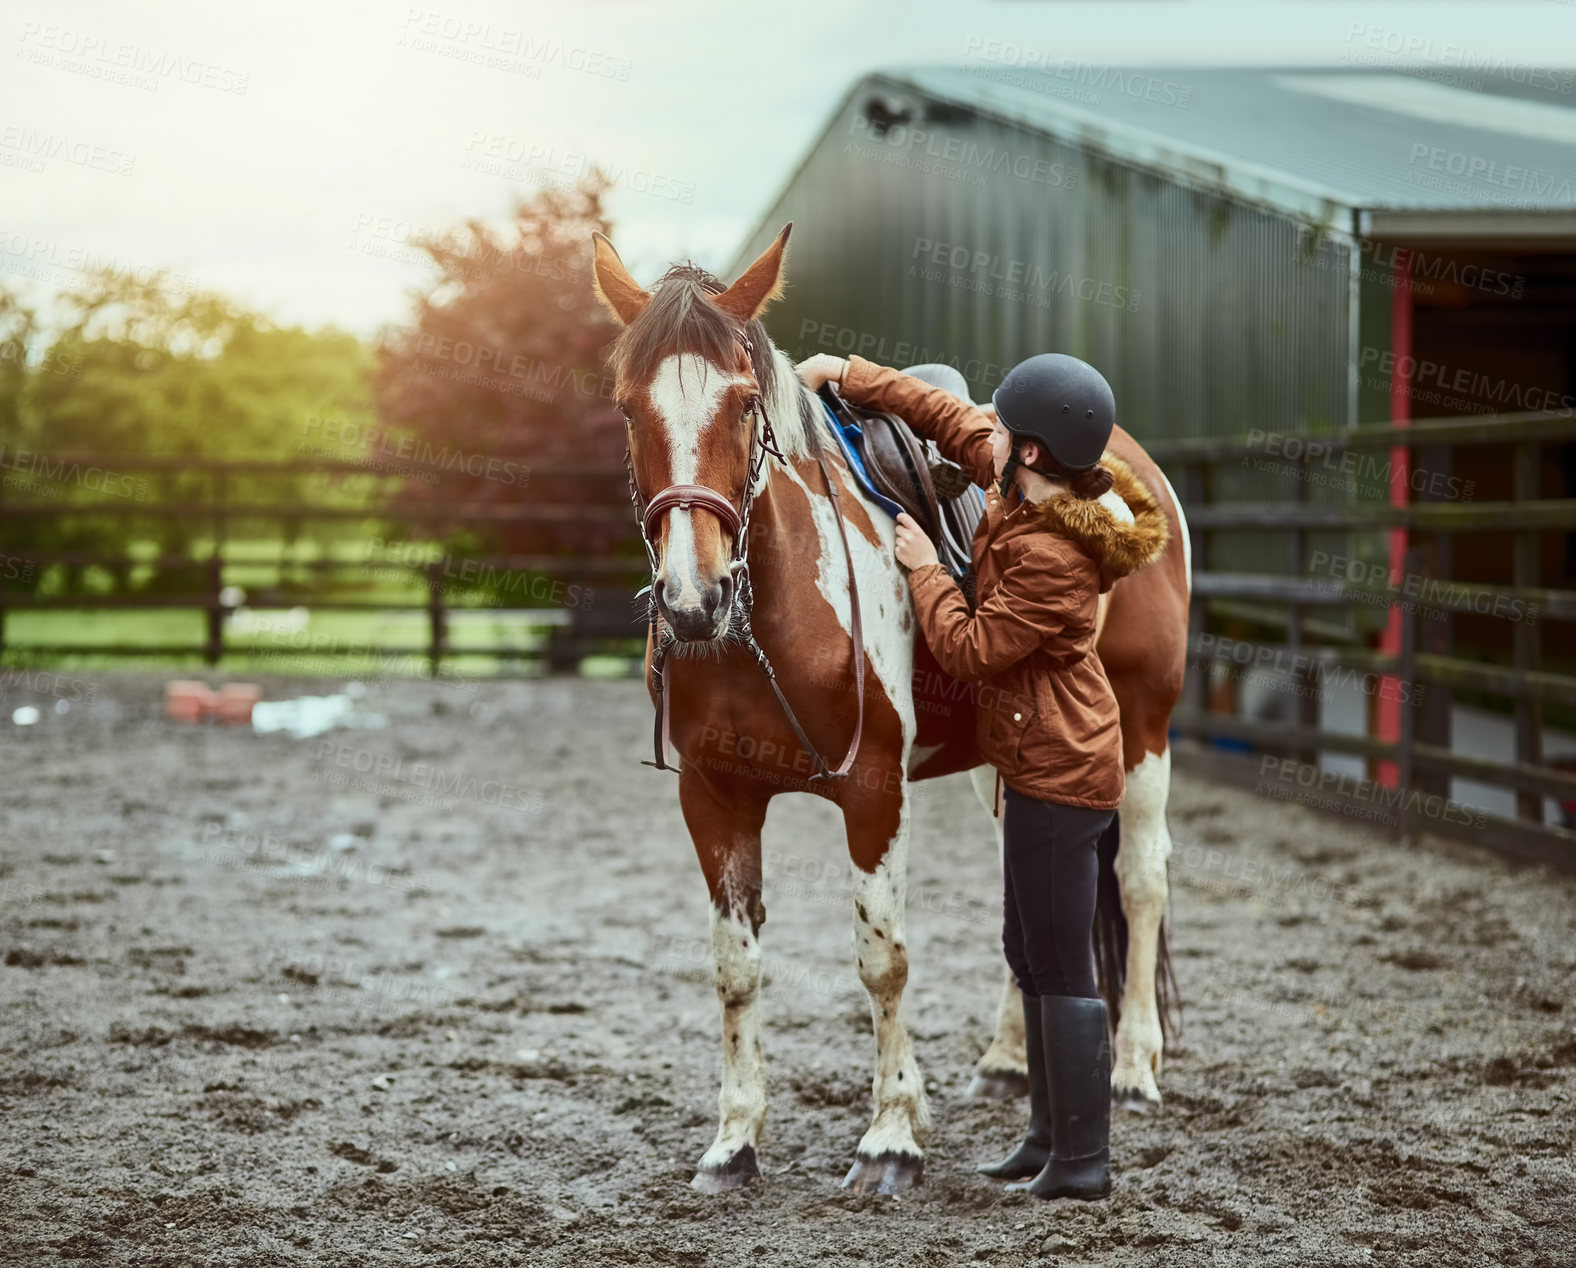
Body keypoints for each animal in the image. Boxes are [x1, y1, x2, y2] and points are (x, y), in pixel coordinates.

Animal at [595, 222, 1185, 1190]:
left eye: (745, 405)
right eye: (628, 410)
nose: (692, 599)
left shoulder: (874, 790)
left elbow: (883, 961)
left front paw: (892, 1136)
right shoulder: (713, 798)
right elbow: (735, 966)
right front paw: (735, 1139)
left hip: (1144, 731)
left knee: (1139, 883)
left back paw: (1135, 1067)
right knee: (1030, 906)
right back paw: (1007, 1062)